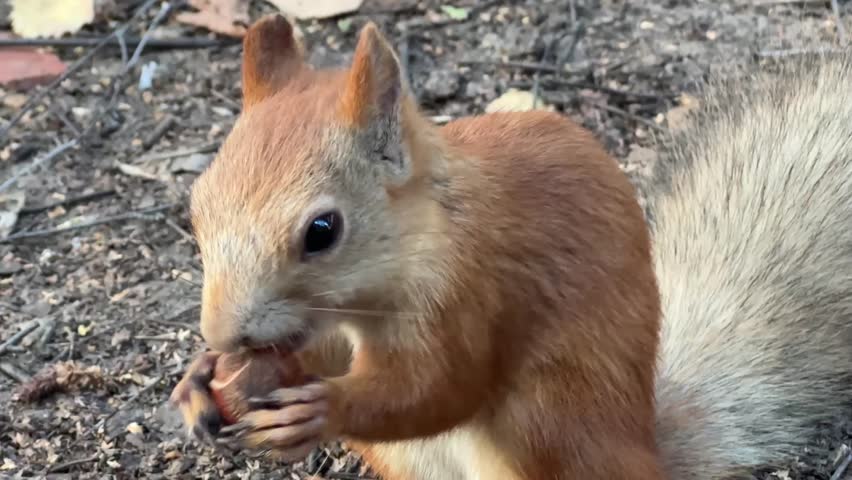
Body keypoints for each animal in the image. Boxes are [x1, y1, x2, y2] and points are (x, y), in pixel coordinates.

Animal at [169, 14, 852, 480]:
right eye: (197, 206)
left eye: (322, 231)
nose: (222, 334)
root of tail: (644, 453)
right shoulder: (332, 325)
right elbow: (326, 352)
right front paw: (199, 380)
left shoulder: (473, 289)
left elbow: (442, 387)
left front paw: (321, 408)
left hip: (547, 422)